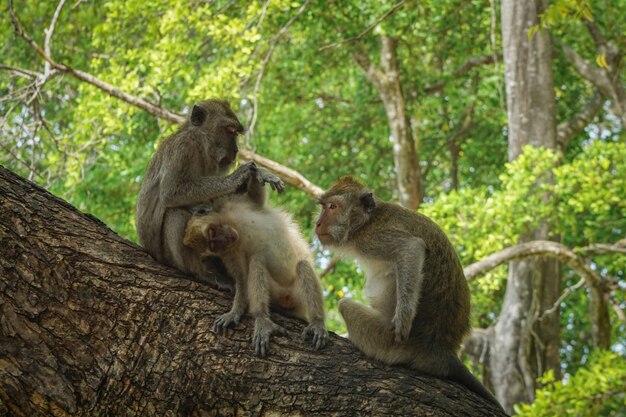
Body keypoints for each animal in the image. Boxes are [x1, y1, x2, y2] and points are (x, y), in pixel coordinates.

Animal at [138, 99, 284, 290]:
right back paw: (200, 273)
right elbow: (171, 192)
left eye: (236, 132)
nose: (236, 150)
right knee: (175, 212)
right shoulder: (182, 149)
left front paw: (259, 172)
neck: (200, 145)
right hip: (167, 256)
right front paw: (238, 176)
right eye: (230, 130)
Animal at [183, 197, 330, 356]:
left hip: (297, 298)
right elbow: (241, 276)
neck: (236, 229)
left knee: (302, 265)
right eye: (212, 245)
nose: (224, 239)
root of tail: (286, 298)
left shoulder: (232, 206)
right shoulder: (230, 251)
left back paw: (316, 321)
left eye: (213, 232)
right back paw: (262, 317)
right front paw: (235, 311)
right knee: (257, 259)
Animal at [312, 175, 502, 410]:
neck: (367, 221)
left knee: (345, 305)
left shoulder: (372, 238)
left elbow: (411, 248)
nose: (318, 223)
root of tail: (440, 350)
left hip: (386, 342)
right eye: (323, 207)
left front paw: (403, 316)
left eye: (333, 207)